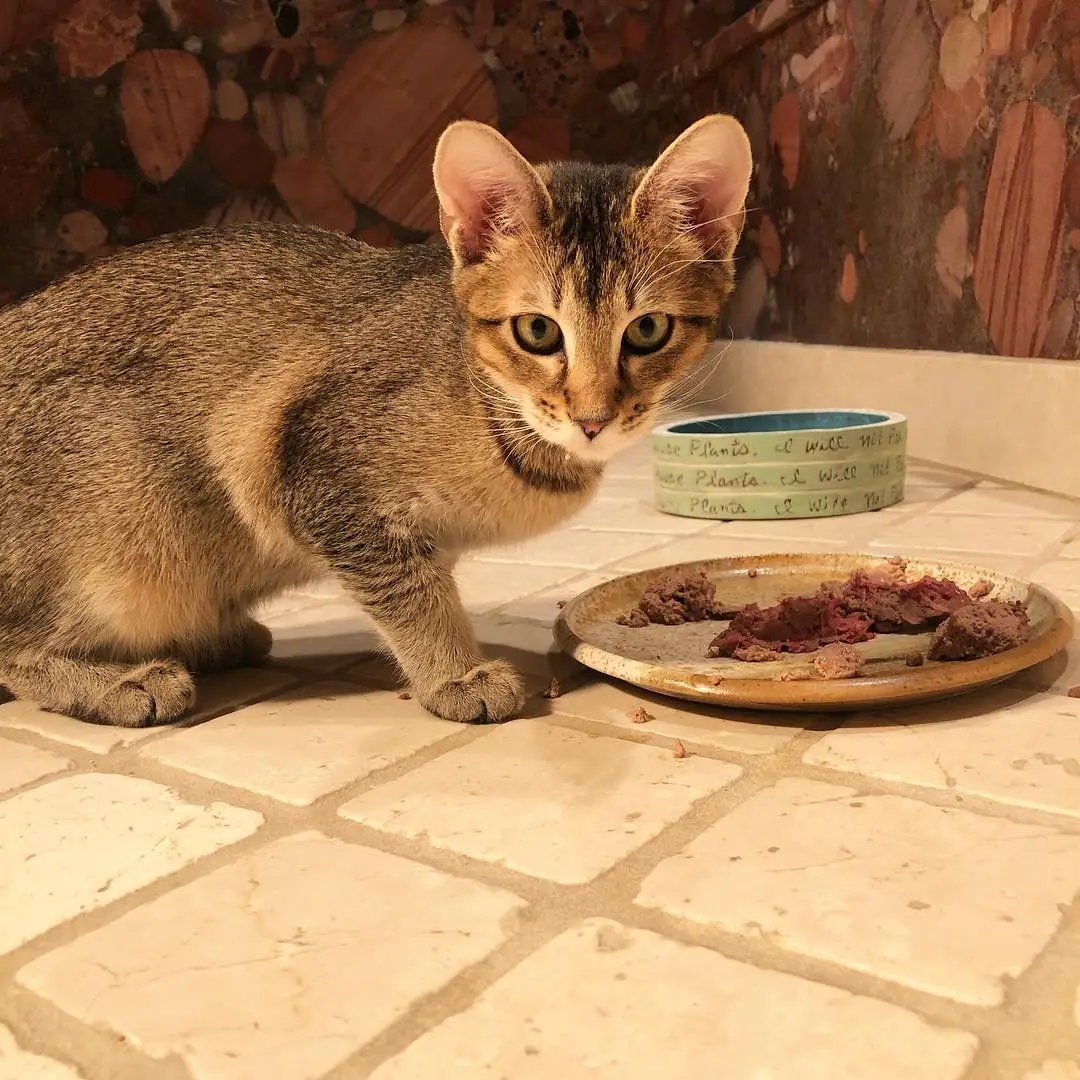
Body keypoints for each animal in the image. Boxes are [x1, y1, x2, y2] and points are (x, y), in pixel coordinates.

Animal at [0, 113, 751, 728]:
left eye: (648, 329)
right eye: (538, 330)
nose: (594, 419)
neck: (488, 404)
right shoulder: (319, 478)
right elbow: (412, 594)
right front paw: (454, 673)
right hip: (128, 524)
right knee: (15, 647)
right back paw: (123, 682)